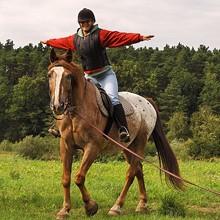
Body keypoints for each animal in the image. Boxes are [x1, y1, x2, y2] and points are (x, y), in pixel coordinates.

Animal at [48, 49, 184, 219]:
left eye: (68, 76)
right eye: (50, 75)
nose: (57, 106)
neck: (77, 112)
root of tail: (147, 102)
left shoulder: (92, 147)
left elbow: (79, 177)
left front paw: (90, 206)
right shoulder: (66, 146)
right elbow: (66, 178)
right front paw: (65, 210)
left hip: (140, 143)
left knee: (131, 173)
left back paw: (116, 207)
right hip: (127, 147)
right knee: (138, 170)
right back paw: (142, 204)